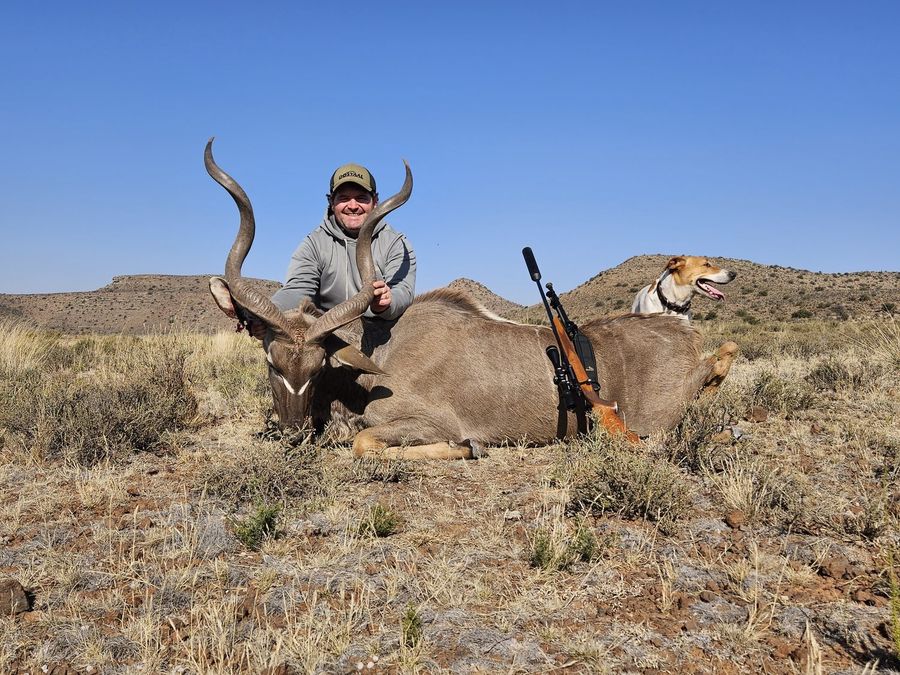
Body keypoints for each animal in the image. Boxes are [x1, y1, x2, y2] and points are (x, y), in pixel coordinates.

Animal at [205, 140, 737, 459]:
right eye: (272, 362)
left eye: (317, 367)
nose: (293, 431)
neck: (379, 359)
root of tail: (683, 333)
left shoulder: (420, 421)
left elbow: (365, 442)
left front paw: (466, 448)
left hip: (657, 426)